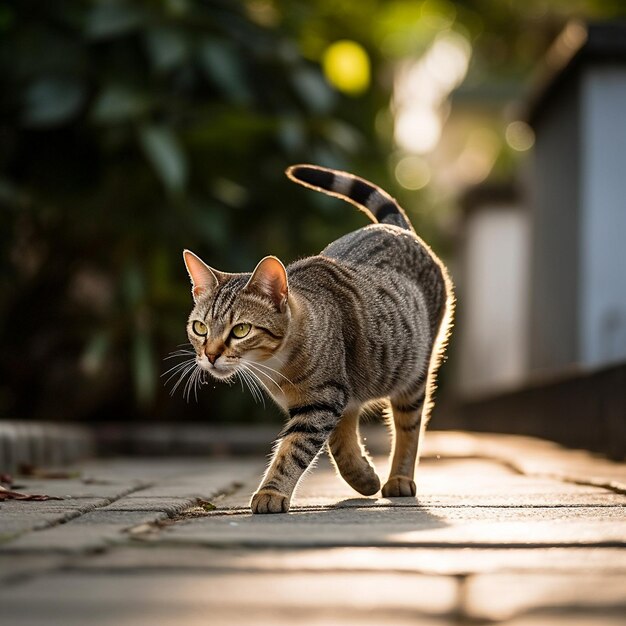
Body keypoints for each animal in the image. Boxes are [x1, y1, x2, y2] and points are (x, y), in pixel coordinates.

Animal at [178, 165, 450, 512]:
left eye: (240, 330)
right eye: (200, 328)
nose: (210, 355)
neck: (275, 366)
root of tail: (396, 228)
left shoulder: (320, 402)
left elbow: (292, 451)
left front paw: (271, 492)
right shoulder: (329, 396)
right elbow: (337, 441)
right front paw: (362, 476)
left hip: (412, 371)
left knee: (409, 425)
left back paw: (400, 477)